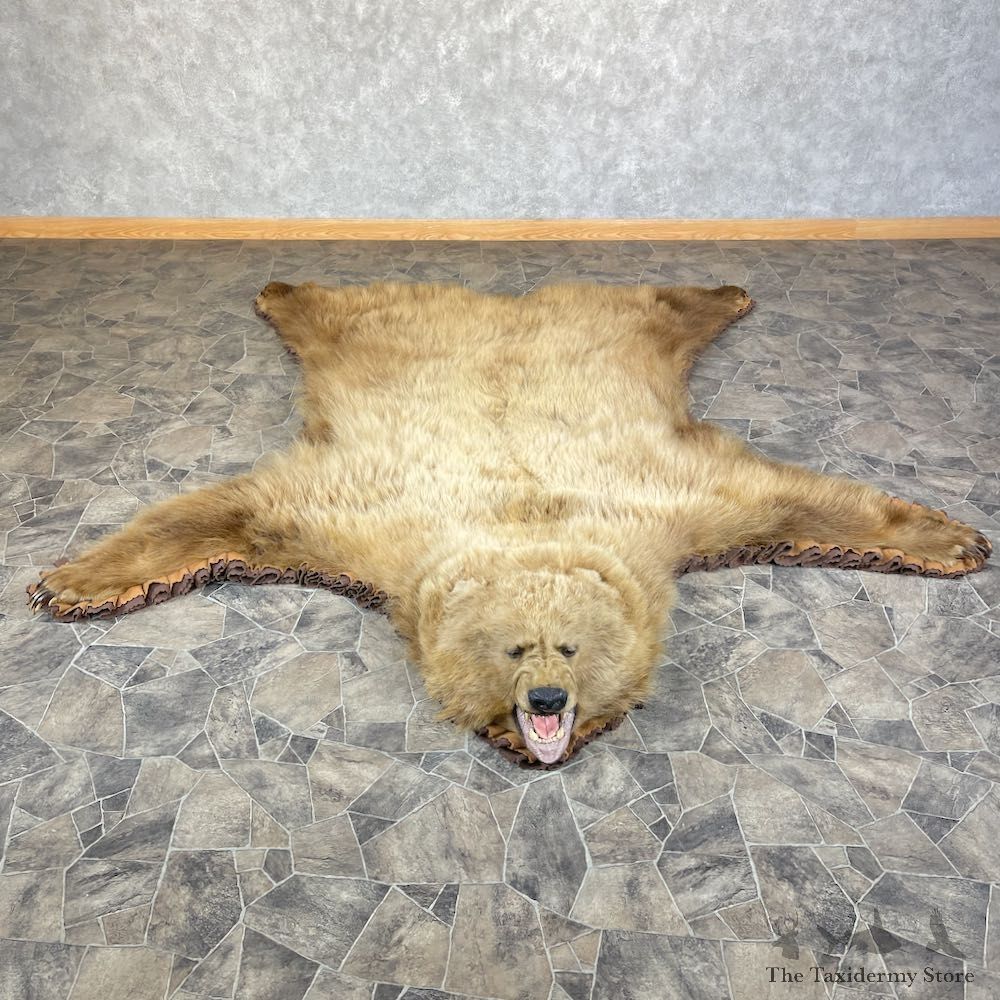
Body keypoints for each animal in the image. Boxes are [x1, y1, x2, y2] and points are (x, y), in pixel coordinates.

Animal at [29, 280, 992, 765]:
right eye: (512, 649)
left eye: (570, 647)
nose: (547, 705)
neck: (521, 520)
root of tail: (499, 300)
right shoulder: (356, 506)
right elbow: (222, 514)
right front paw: (71, 583)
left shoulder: (676, 494)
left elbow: (801, 498)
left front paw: (953, 538)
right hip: (364, 328)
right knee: (329, 301)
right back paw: (277, 284)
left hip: (619, 327)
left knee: (660, 303)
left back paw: (727, 288)